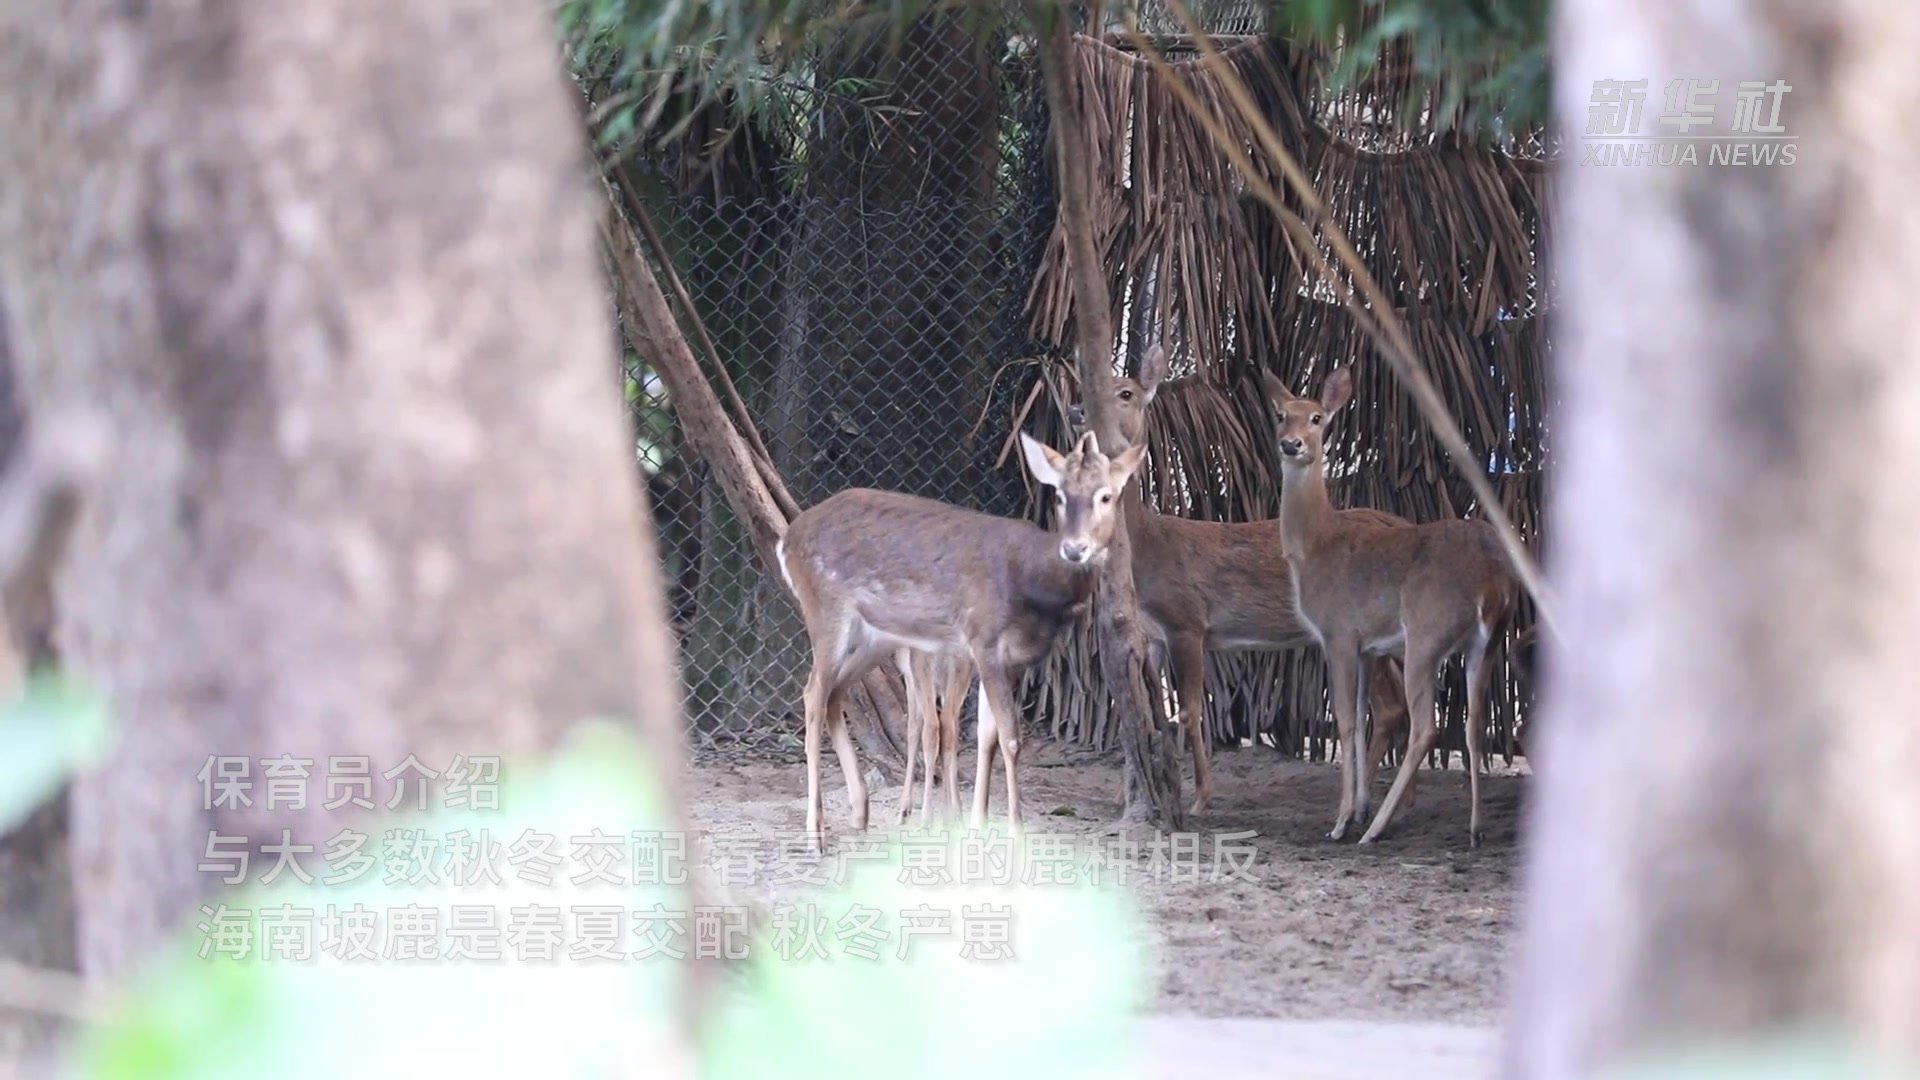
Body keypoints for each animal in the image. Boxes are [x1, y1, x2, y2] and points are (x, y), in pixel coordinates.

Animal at [775, 428, 1136, 849]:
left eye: (1106, 496)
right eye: (1060, 496)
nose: (1075, 548)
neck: (1034, 584)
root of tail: (785, 540)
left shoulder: (1010, 661)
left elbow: (987, 735)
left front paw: (976, 824)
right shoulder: (984, 640)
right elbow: (1010, 738)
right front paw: (1014, 830)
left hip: (875, 637)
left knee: (835, 695)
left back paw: (860, 813)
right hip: (826, 610)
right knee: (813, 694)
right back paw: (816, 832)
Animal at [1067, 345, 1428, 814]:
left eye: (1125, 392)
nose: (1077, 410)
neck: (1148, 544)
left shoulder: (1187, 621)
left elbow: (1190, 710)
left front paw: (1201, 797)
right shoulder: (1154, 633)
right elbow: (1144, 705)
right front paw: (1127, 793)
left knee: (1388, 706)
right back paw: (1401, 799)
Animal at [1267, 365, 1520, 845]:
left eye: (1317, 418)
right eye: (1281, 415)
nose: (1291, 445)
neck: (1315, 545)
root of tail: (1493, 581)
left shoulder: (1338, 633)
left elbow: (1346, 720)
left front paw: (1343, 820)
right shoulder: (1368, 647)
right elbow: (1363, 716)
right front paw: (1358, 807)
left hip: (1426, 633)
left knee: (1427, 726)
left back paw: (1375, 830)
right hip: (1488, 642)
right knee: (1475, 722)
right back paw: (1475, 827)